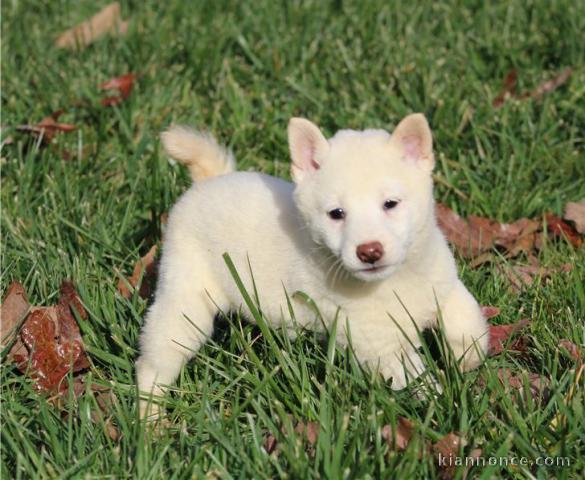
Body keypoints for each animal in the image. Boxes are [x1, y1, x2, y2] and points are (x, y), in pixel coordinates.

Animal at [137, 113, 488, 416]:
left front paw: (466, 359)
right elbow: (416, 376)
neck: (394, 281)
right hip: (185, 305)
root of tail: (206, 183)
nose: (369, 251)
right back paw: (150, 421)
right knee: (153, 365)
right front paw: (443, 404)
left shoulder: (442, 283)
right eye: (336, 214)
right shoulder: (379, 344)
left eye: (390, 204)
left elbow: (467, 319)